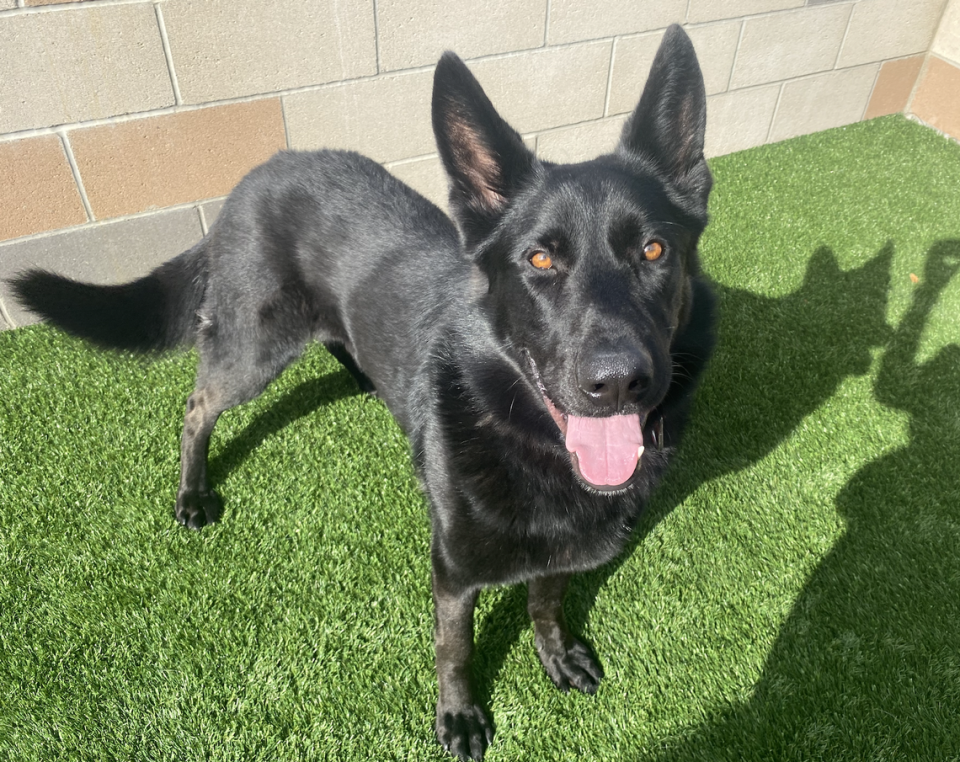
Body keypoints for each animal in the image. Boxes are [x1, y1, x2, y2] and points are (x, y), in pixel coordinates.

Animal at [9, 26, 712, 756]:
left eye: (655, 251)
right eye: (540, 260)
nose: (618, 381)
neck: (528, 439)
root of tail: (253, 177)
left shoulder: (564, 552)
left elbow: (545, 603)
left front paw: (555, 653)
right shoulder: (453, 570)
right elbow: (454, 649)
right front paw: (458, 715)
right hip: (254, 349)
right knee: (197, 405)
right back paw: (192, 493)